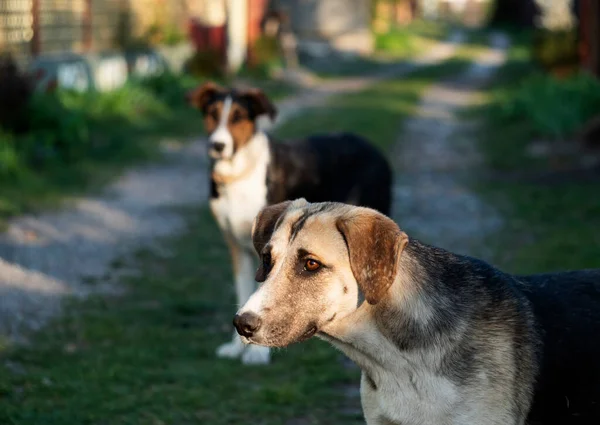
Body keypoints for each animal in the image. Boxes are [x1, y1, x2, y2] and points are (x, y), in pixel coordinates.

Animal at [188, 83, 394, 364]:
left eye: (238, 117)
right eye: (212, 114)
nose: (218, 145)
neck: (237, 175)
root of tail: (370, 145)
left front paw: (257, 353)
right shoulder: (238, 246)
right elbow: (244, 291)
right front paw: (237, 346)